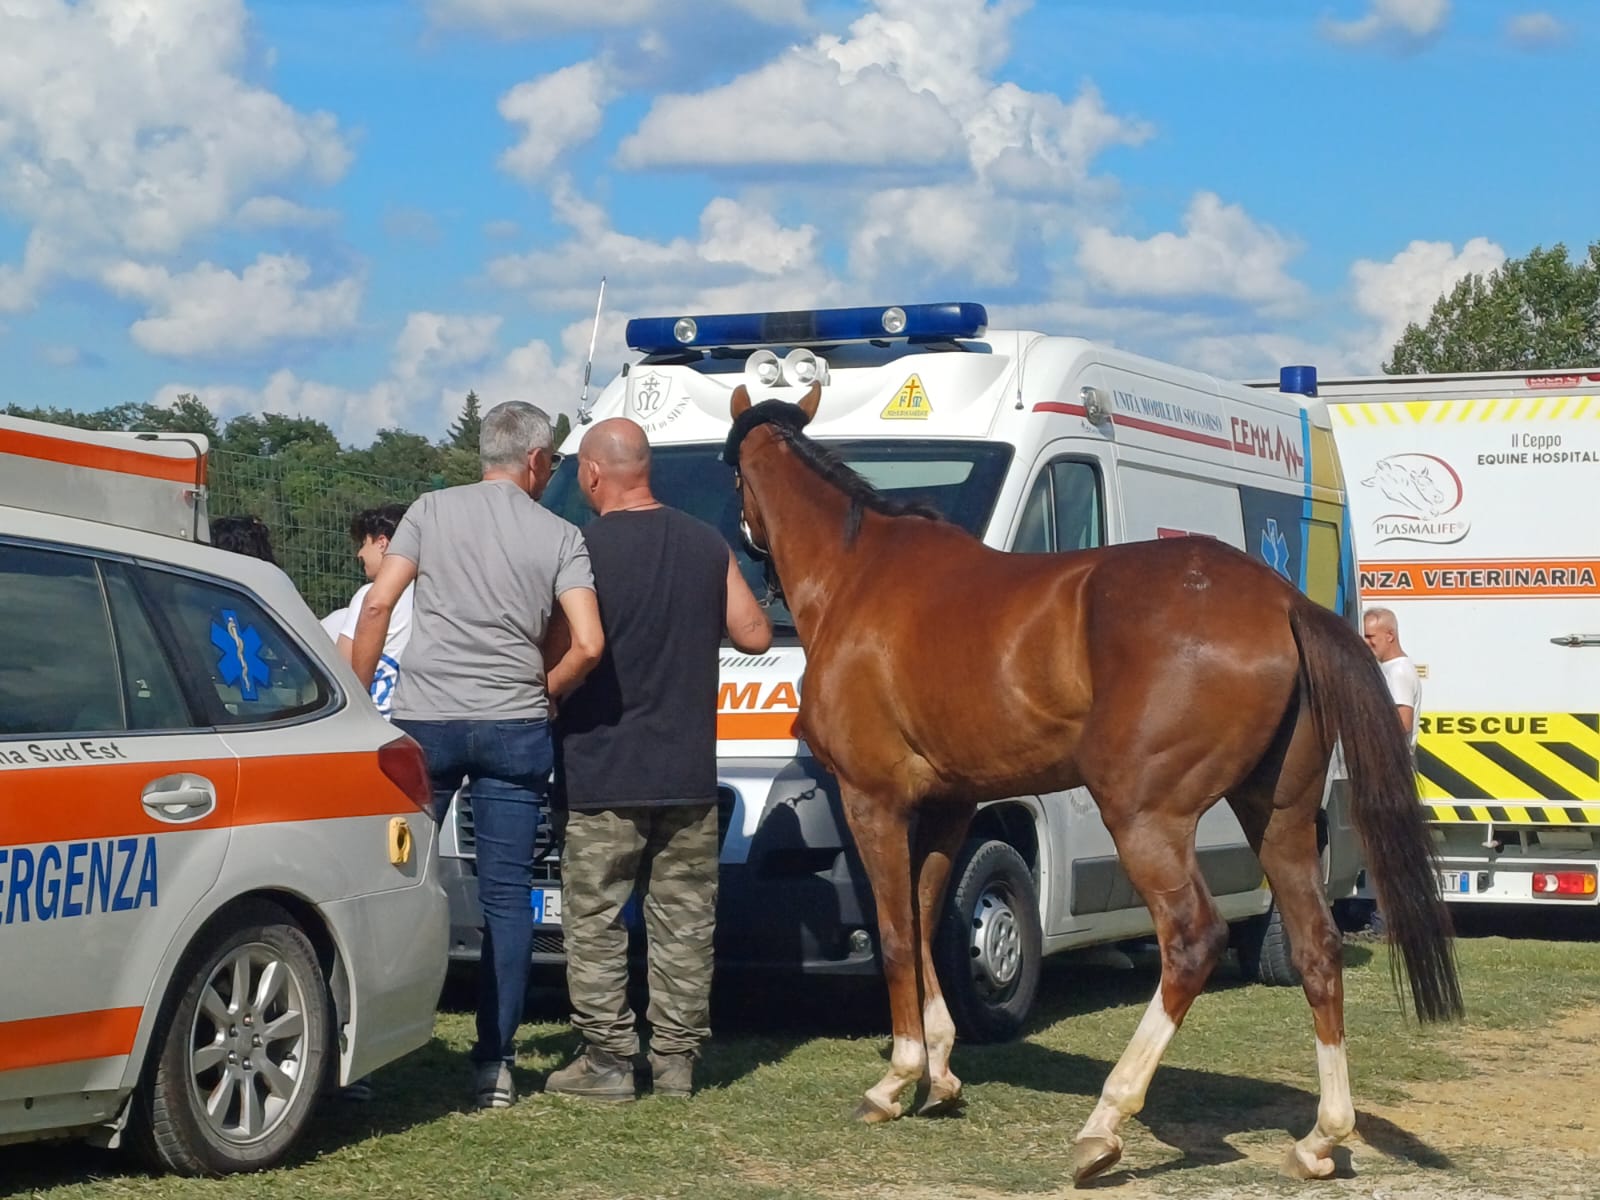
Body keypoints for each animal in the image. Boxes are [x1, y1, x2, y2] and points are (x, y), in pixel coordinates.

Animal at [722, 382, 1462, 1185]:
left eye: (730, 477)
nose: (744, 559)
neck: (859, 573)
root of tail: (1285, 602)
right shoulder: (950, 803)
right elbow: (924, 914)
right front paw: (941, 1073)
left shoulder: (874, 801)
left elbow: (893, 930)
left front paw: (898, 1077)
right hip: (1279, 818)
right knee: (1317, 947)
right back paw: (1321, 1137)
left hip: (1145, 818)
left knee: (1191, 941)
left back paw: (1104, 1125)